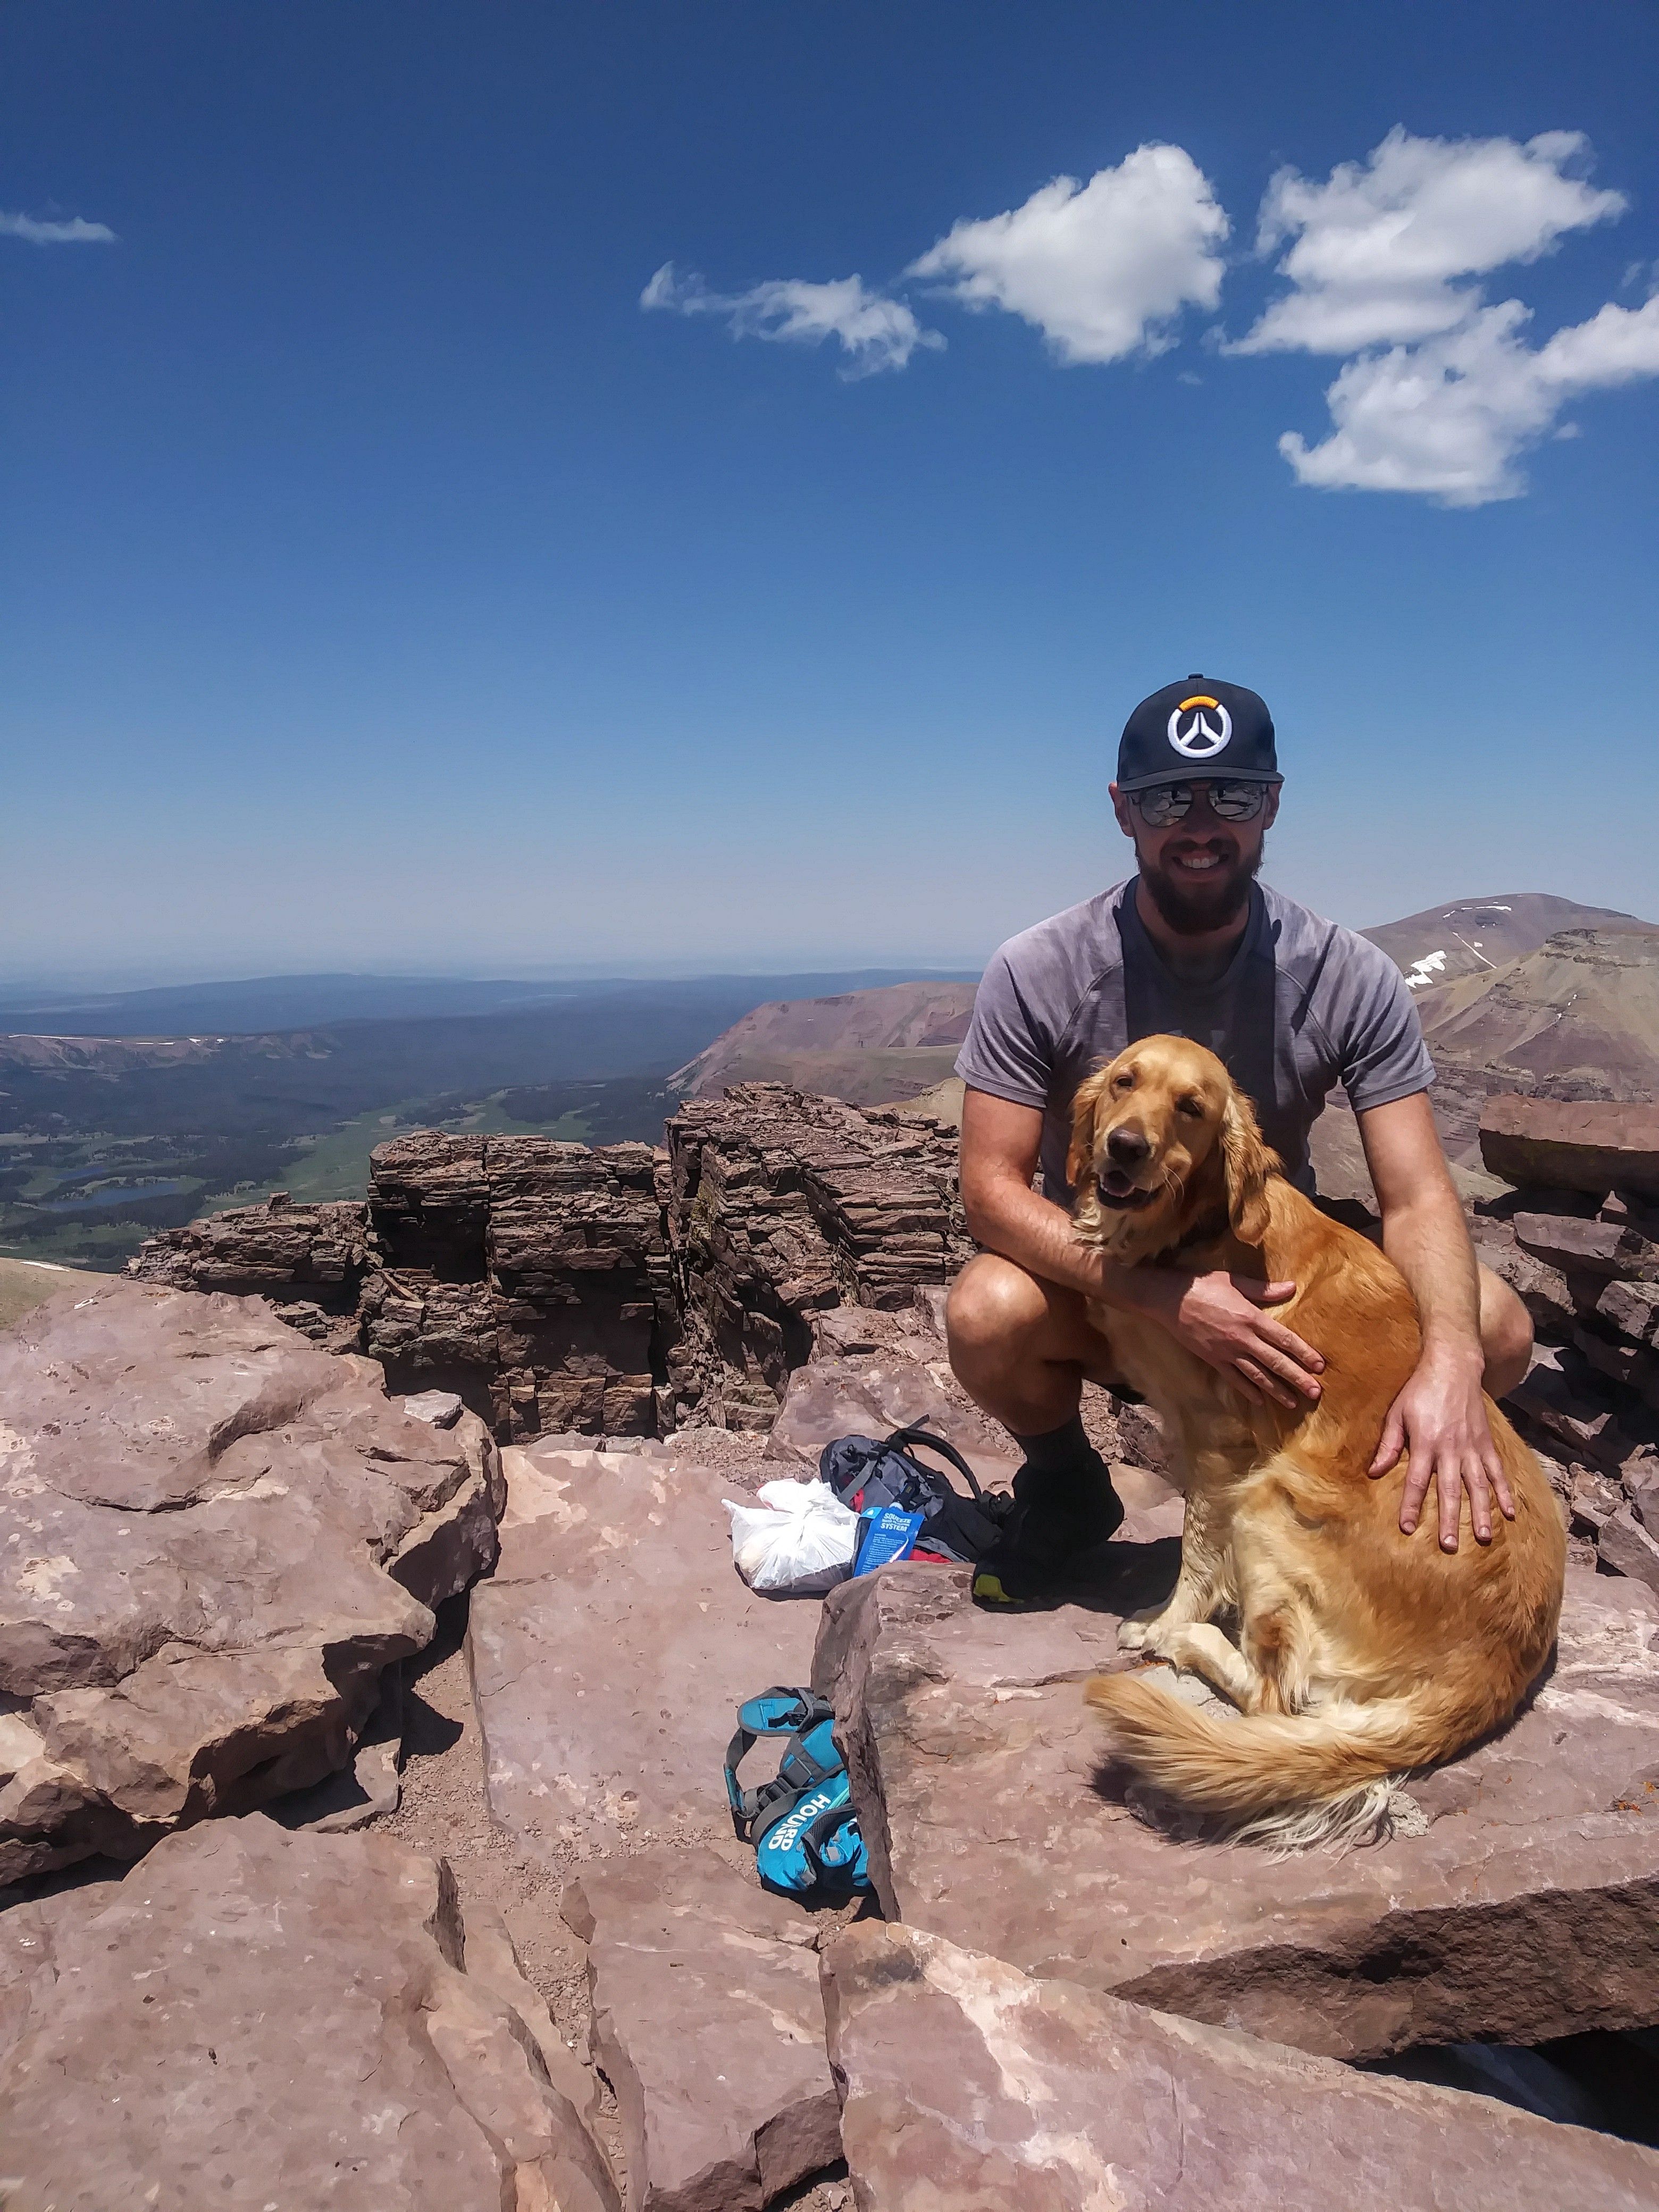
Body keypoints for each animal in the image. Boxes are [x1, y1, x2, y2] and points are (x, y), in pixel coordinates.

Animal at [1070, 1035, 1566, 1849]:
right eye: (1123, 1081)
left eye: (1191, 1107)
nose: (1125, 1146)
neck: (1202, 1228)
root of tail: (1498, 1664)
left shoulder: (1219, 1442)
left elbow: (1195, 1554)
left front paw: (1165, 1620)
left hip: (1272, 1502)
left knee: (1275, 1700)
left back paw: (1189, 1643)